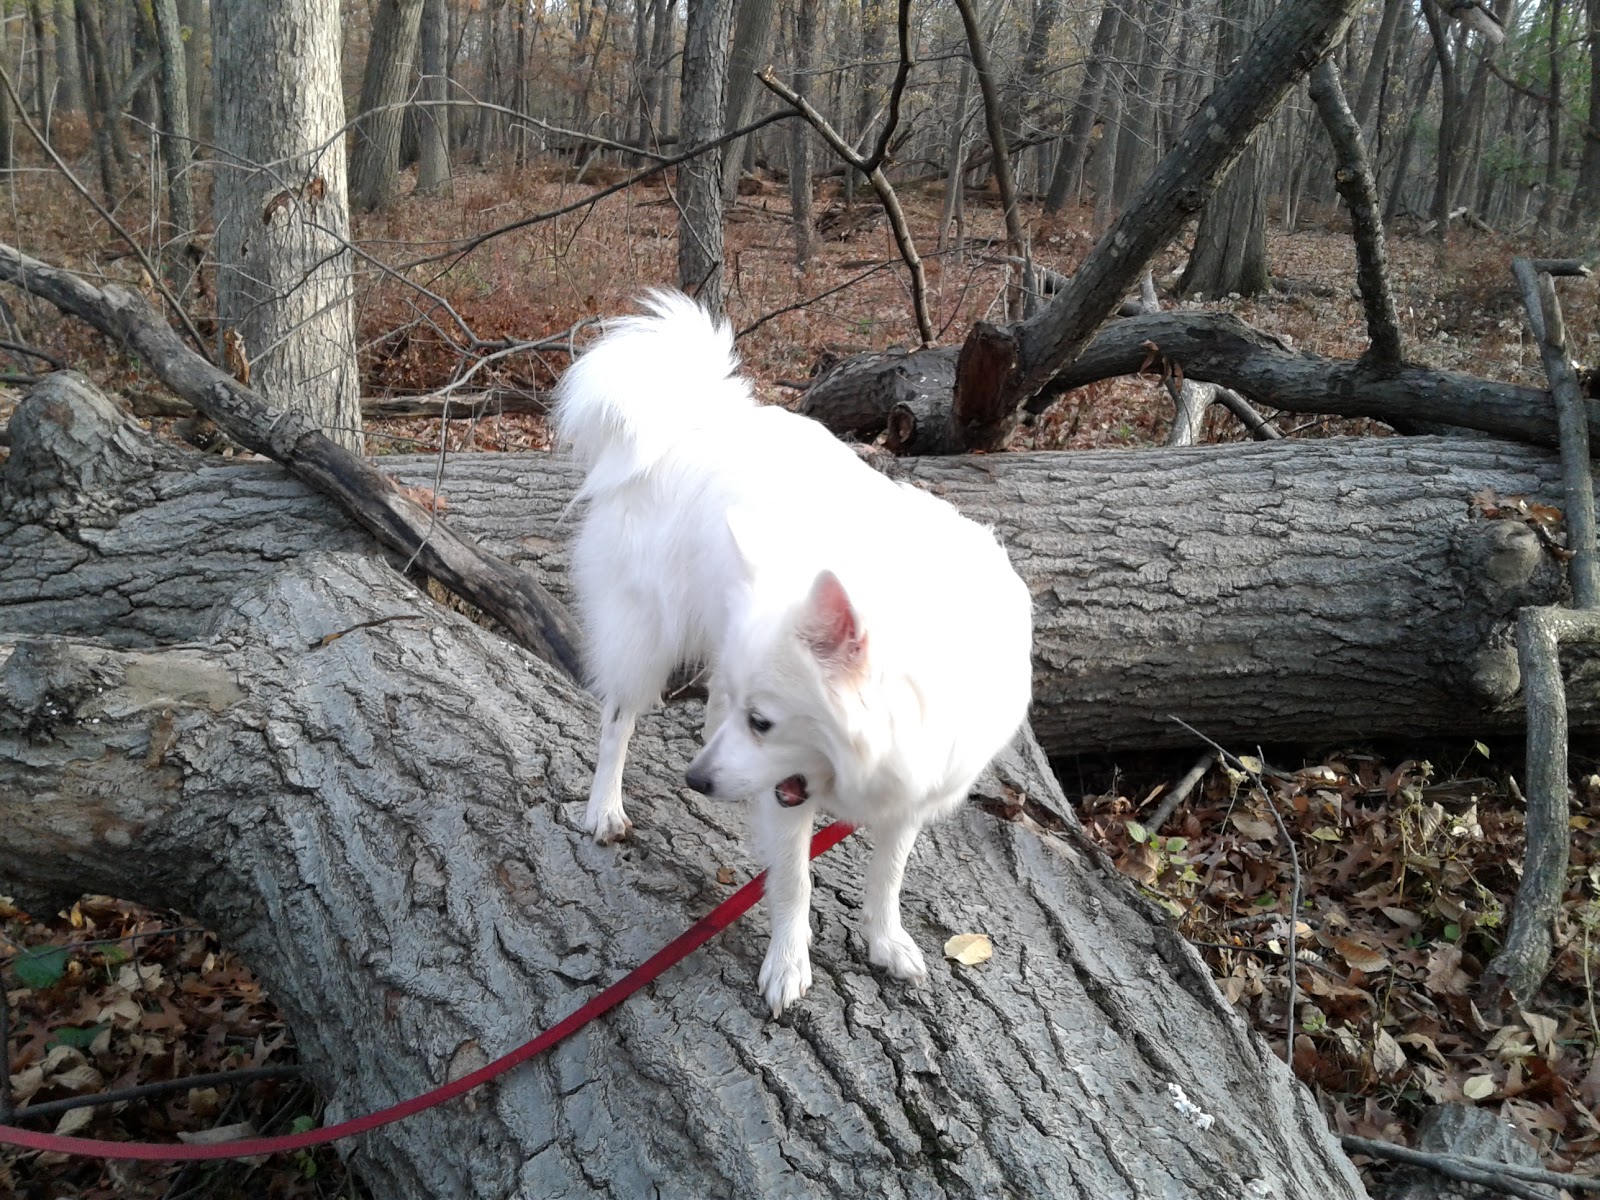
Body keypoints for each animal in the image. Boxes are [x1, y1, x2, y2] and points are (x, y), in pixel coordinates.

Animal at [552, 291, 1033, 1015]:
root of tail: (701, 417)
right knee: (618, 720)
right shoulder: (790, 797)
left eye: (764, 723)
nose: (696, 781)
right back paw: (604, 808)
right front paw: (787, 964)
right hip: (648, 633)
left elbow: (888, 873)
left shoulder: (911, 793)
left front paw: (885, 939)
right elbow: (794, 882)